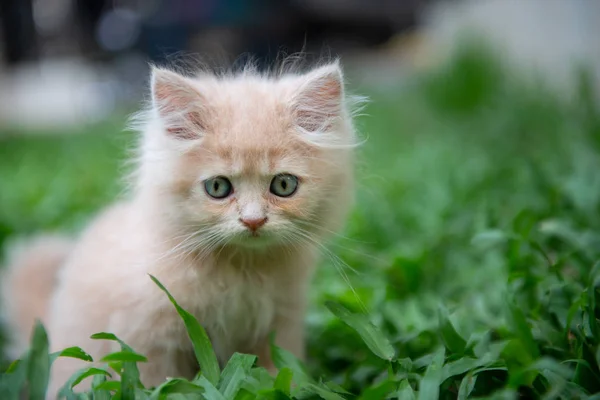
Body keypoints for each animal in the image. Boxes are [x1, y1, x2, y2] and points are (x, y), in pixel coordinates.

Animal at [1, 60, 360, 396]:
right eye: (218, 187)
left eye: (283, 185)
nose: (253, 220)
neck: (240, 269)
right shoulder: (145, 337)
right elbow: (154, 382)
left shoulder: (281, 323)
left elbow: (280, 371)